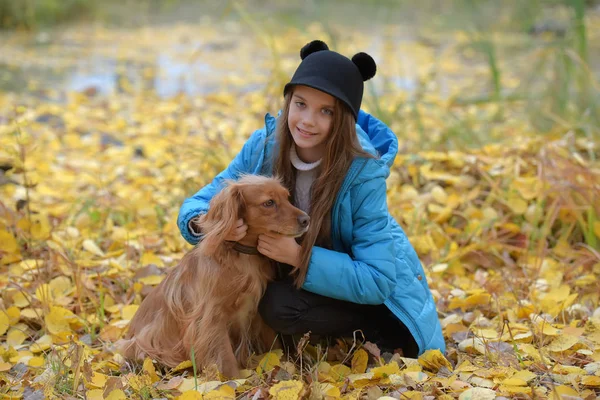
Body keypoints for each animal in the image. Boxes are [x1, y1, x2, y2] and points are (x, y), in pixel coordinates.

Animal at [120, 176, 312, 378]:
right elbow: (225, 355)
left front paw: (281, 367)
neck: (242, 257)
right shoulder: (211, 317)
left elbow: (272, 344)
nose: (306, 219)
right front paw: (235, 381)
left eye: (287, 198)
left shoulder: (257, 311)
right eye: (269, 203)